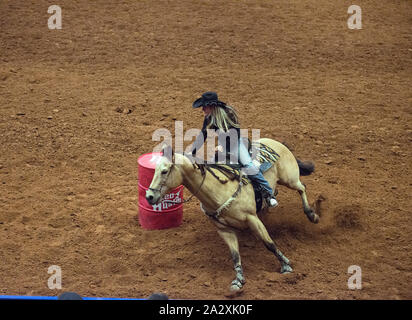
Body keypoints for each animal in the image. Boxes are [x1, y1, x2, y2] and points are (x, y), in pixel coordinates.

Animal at [145, 138, 322, 296]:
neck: (218, 190)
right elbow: (235, 255)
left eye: (164, 171)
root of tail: (277, 142)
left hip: (290, 179)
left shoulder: (252, 218)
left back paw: (312, 214)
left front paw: (285, 265)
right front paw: (238, 280)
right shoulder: (224, 230)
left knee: (302, 188)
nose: (149, 196)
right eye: (154, 170)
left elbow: (269, 243)